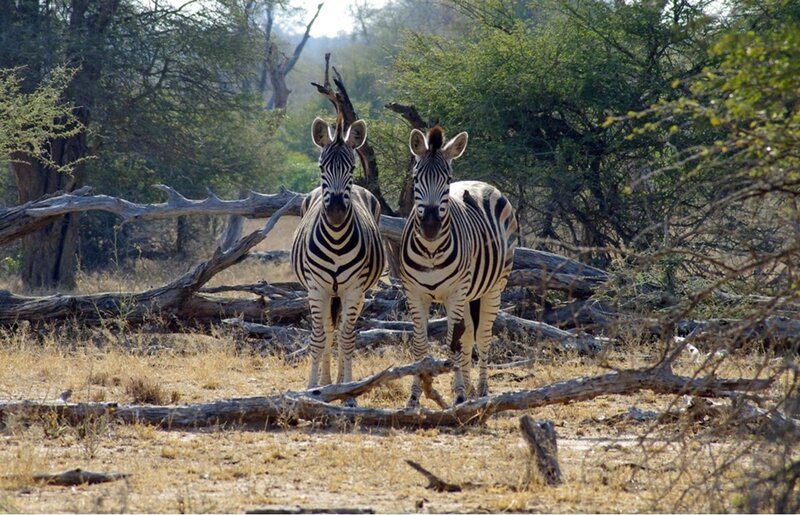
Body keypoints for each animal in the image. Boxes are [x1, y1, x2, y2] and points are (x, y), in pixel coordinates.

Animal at [291, 115, 385, 399]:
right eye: (322, 166)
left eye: (352, 168)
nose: (334, 211)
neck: (335, 239)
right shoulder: (316, 289)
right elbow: (320, 337)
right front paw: (313, 386)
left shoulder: (354, 289)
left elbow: (346, 338)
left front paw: (347, 387)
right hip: (327, 293)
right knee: (329, 330)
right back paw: (326, 381)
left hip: (354, 293)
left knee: (345, 330)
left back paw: (340, 380)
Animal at [399, 126, 518, 407]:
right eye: (416, 177)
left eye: (447, 178)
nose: (431, 227)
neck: (430, 251)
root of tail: (483, 184)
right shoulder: (414, 294)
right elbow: (420, 347)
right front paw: (414, 397)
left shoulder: (454, 293)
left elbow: (452, 343)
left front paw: (459, 393)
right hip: (467, 294)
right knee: (468, 334)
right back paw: (470, 390)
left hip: (493, 287)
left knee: (482, 335)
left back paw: (481, 390)